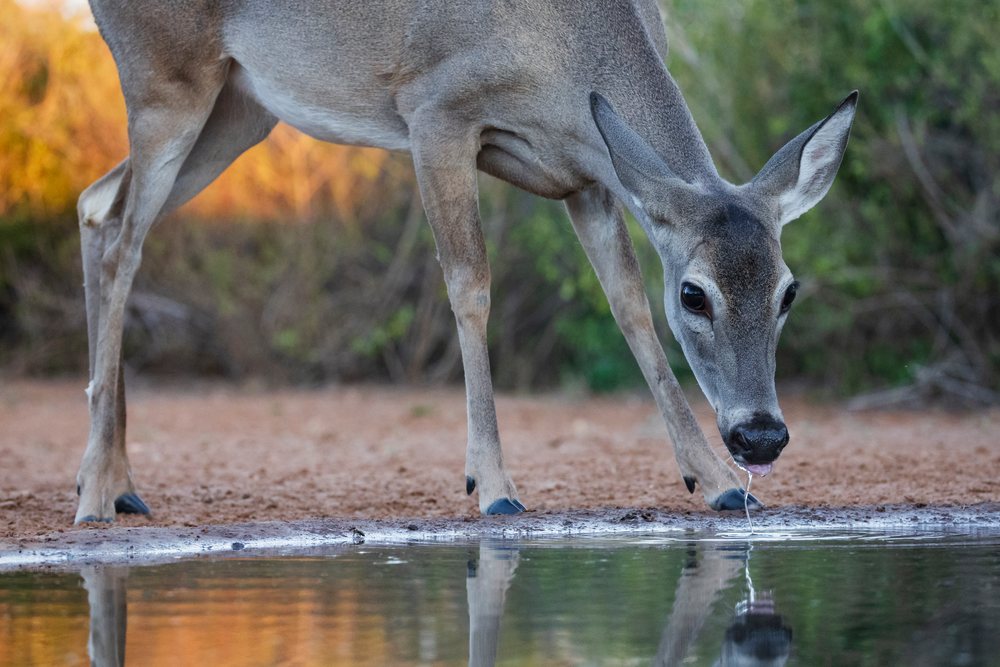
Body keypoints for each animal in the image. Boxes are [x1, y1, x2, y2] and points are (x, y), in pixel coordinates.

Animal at [73, 0, 856, 523]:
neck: (567, 46)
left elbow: (628, 305)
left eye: (788, 290)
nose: (760, 433)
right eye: (695, 294)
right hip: (165, 80)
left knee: (95, 204)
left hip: (239, 107)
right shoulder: (436, 112)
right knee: (122, 239)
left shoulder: (589, 176)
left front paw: (713, 478)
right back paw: (99, 489)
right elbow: (471, 284)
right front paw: (494, 486)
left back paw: (113, 481)